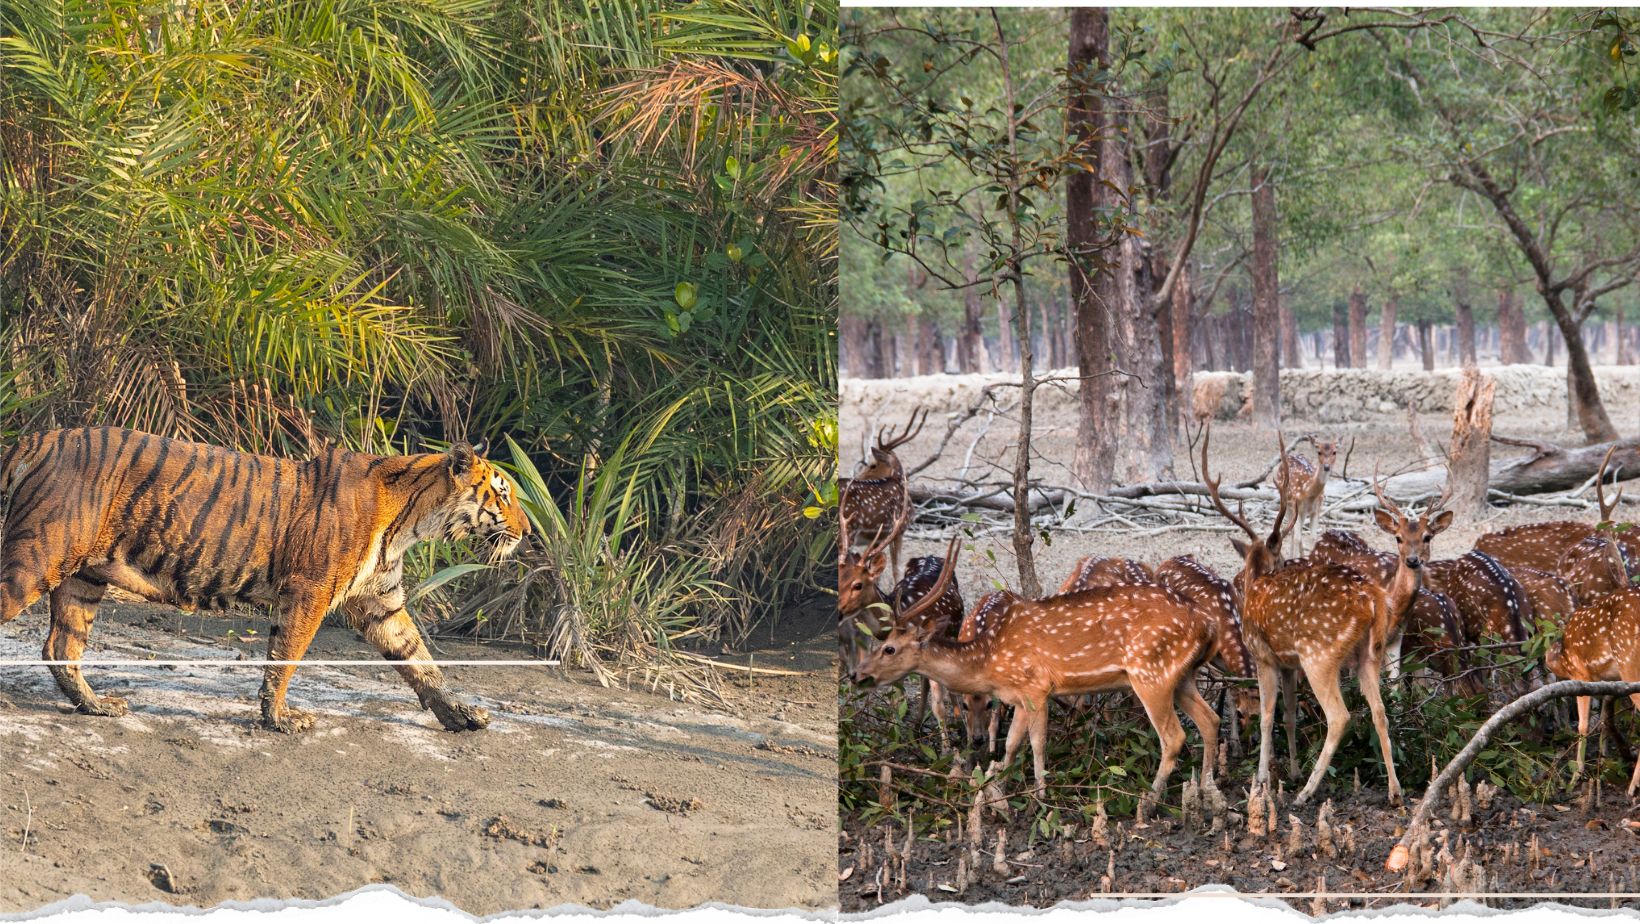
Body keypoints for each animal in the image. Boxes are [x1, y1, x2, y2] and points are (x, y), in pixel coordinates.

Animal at [0, 429, 524, 738]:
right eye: (503, 495)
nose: (528, 532)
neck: (412, 521)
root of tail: (41, 438)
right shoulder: (310, 590)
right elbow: (285, 658)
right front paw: (279, 718)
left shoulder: (381, 602)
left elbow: (421, 661)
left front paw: (460, 714)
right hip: (38, 556)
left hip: (83, 577)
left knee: (60, 647)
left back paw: (97, 706)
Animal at [839, 408, 931, 580]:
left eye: (873, 465)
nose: (856, 477)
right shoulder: (899, 530)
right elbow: (896, 569)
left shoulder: (884, 536)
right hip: (848, 530)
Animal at [846, 538, 1220, 807]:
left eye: (889, 648)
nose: (857, 675)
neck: (988, 660)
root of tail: (1207, 626)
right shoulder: (1019, 695)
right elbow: (1012, 743)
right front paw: (998, 786)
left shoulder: (1036, 686)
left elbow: (1037, 743)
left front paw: (1040, 795)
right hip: (1181, 676)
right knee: (1210, 720)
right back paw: (1206, 791)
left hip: (1150, 673)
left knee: (1174, 736)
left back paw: (1150, 801)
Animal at [1200, 429, 1443, 807]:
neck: (1255, 586)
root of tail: (1372, 599)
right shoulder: (1288, 663)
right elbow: (1289, 715)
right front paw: (1291, 770)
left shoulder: (1264, 655)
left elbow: (1267, 717)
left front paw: (1262, 780)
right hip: (1367, 655)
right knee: (1380, 710)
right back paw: (1395, 790)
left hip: (1320, 654)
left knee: (1340, 716)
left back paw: (1306, 793)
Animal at [1541, 590, 1640, 791]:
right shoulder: (1611, 680)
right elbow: (1605, 719)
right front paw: (1603, 759)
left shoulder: (1582, 674)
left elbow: (1583, 724)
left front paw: (1577, 775)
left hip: (1629, 661)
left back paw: (1633, 786)